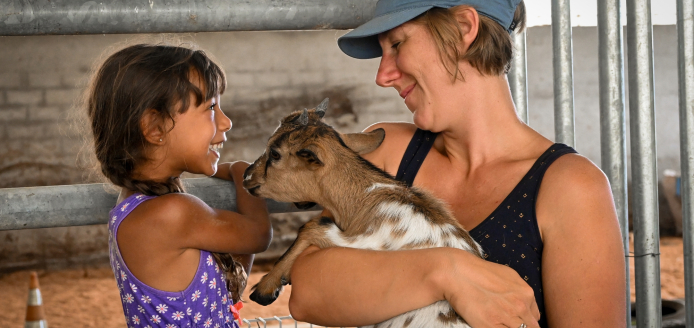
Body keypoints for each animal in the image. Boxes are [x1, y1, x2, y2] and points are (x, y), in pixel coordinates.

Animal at [243, 98, 484, 326]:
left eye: (275, 153)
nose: (246, 176)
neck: (368, 196)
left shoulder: (363, 241)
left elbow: (311, 226)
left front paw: (265, 287)